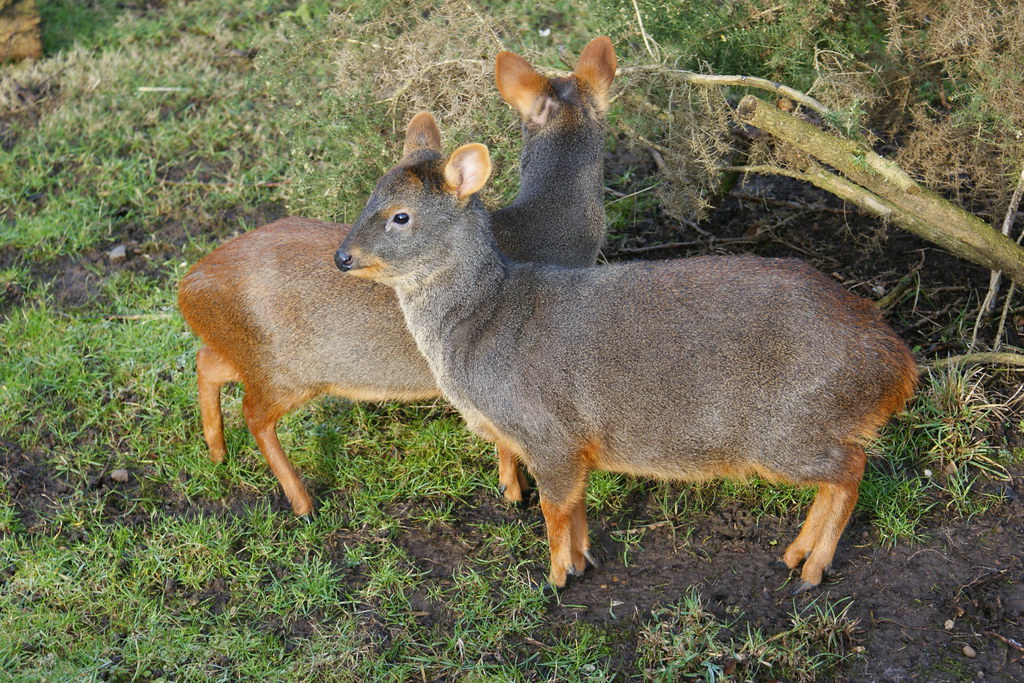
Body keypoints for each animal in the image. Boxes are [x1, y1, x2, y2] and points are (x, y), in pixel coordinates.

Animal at [176, 37, 614, 516]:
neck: (547, 229)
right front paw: (513, 491)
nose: (344, 257)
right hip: (285, 369)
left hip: (256, 357)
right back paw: (302, 501)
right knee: (253, 413)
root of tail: (188, 285)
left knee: (207, 362)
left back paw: (217, 451)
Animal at [335, 114, 921, 589]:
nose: (342, 256)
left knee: (852, 467)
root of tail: (898, 363)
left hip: (787, 428)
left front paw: (556, 577)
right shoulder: (568, 443)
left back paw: (813, 567)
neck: (479, 325)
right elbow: (575, 510)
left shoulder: (546, 430)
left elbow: (553, 508)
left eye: (401, 216)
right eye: (369, 200)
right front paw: (583, 561)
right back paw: (796, 555)